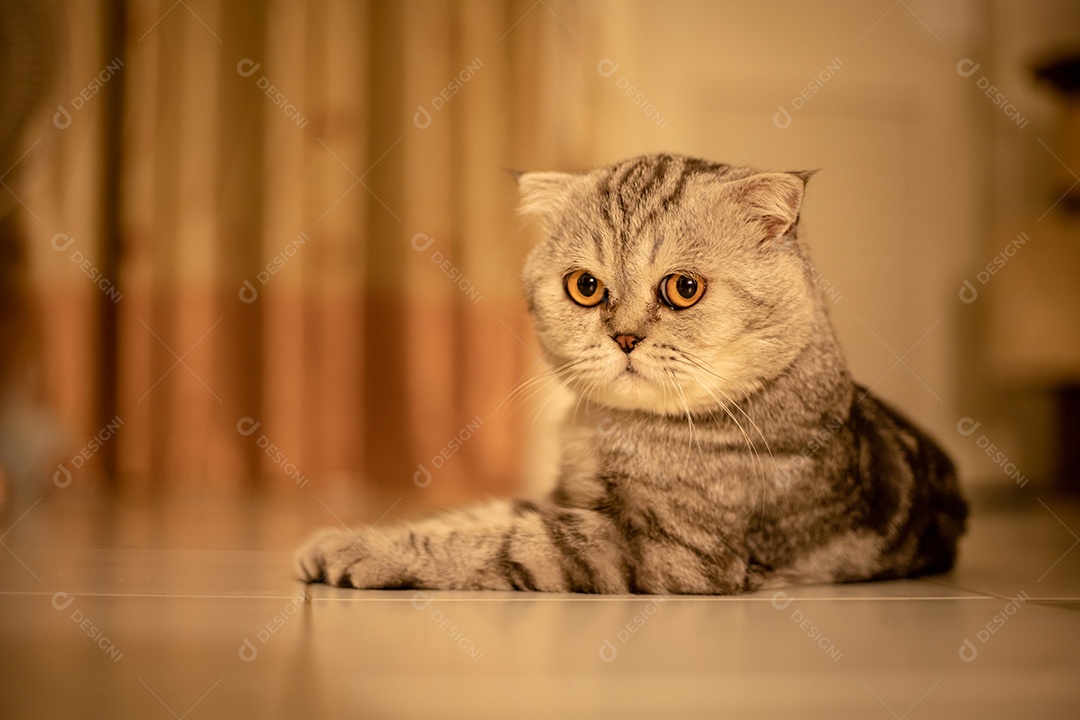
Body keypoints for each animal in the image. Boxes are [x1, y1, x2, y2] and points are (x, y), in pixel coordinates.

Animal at [293, 153, 972, 595]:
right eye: (585, 287)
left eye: (684, 288)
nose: (623, 337)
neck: (609, 429)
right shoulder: (561, 498)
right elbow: (470, 516)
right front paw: (338, 537)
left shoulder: (657, 550)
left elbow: (496, 542)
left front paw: (367, 549)